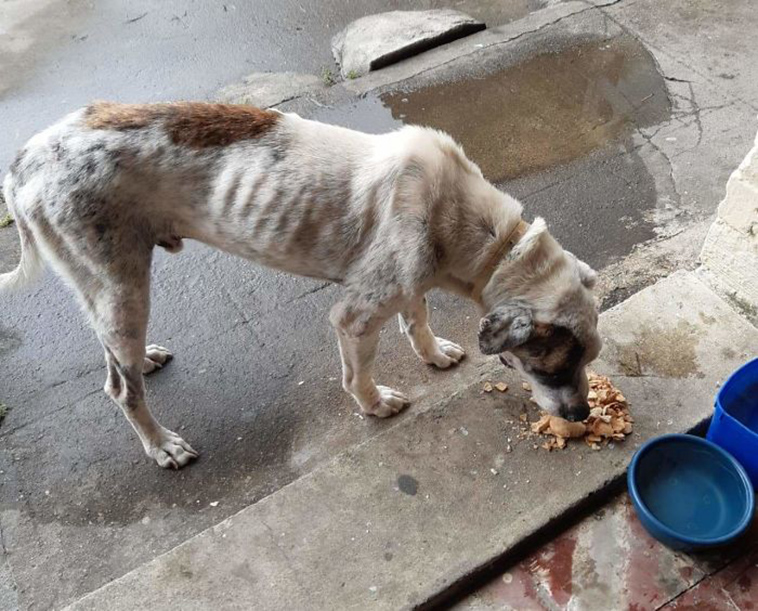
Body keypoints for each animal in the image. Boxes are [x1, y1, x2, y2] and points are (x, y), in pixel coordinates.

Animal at [2, 103, 604, 470]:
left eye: (590, 359)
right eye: (553, 368)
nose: (581, 417)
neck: (478, 230)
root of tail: (23, 162)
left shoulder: (408, 281)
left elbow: (418, 315)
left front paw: (433, 354)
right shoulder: (355, 317)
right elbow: (359, 372)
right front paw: (376, 405)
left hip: (106, 292)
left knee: (114, 356)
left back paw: (144, 359)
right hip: (123, 286)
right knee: (121, 389)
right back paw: (162, 445)